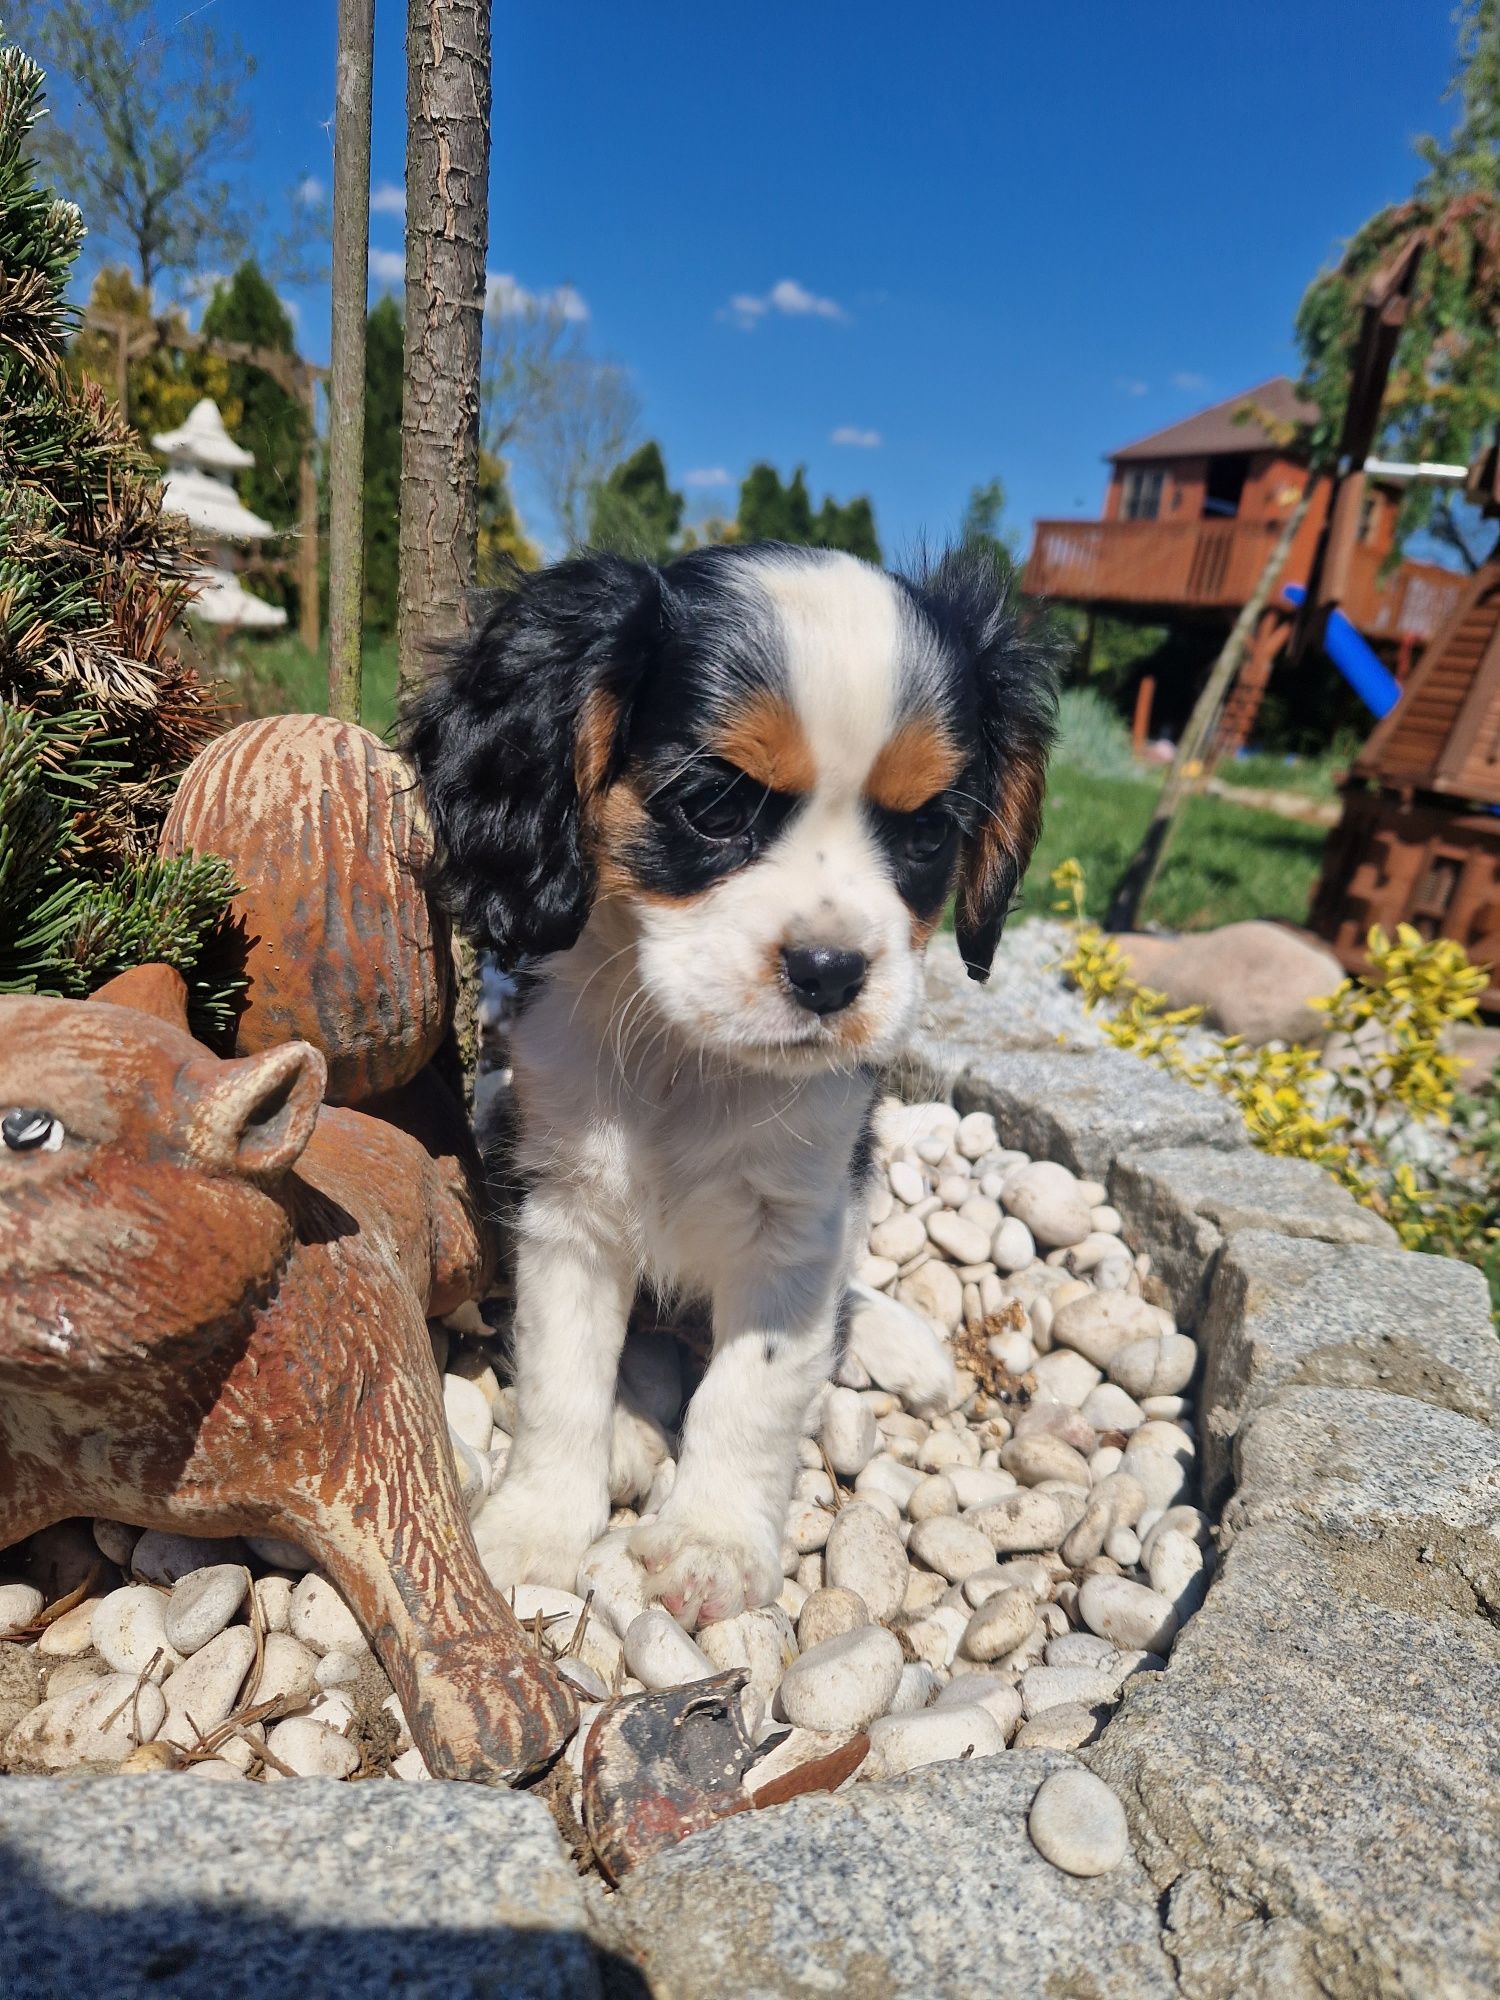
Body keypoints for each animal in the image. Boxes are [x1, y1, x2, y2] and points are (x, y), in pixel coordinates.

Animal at [402, 544, 1056, 1624]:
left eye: (928, 832)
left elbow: (753, 1388)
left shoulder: (795, 1220)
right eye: (714, 803)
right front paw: (537, 1528)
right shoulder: (564, 1208)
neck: (690, 1054)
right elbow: (562, 1379)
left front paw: (710, 1542)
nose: (832, 971)